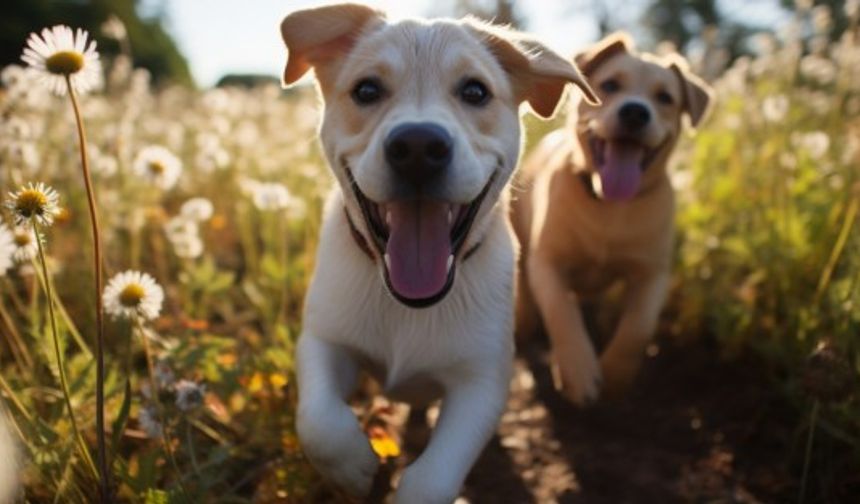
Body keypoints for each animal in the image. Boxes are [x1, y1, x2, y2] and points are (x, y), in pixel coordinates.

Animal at [278, 2, 596, 500]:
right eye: (366, 89)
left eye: (475, 91)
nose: (417, 146)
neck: (408, 305)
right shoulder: (324, 341)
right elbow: (319, 421)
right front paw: (353, 469)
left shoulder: (481, 384)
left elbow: (431, 479)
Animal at [510, 33, 712, 406]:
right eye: (609, 85)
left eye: (665, 97)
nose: (635, 111)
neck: (609, 205)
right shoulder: (547, 262)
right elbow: (562, 312)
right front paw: (578, 371)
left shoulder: (653, 273)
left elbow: (638, 327)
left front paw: (617, 376)